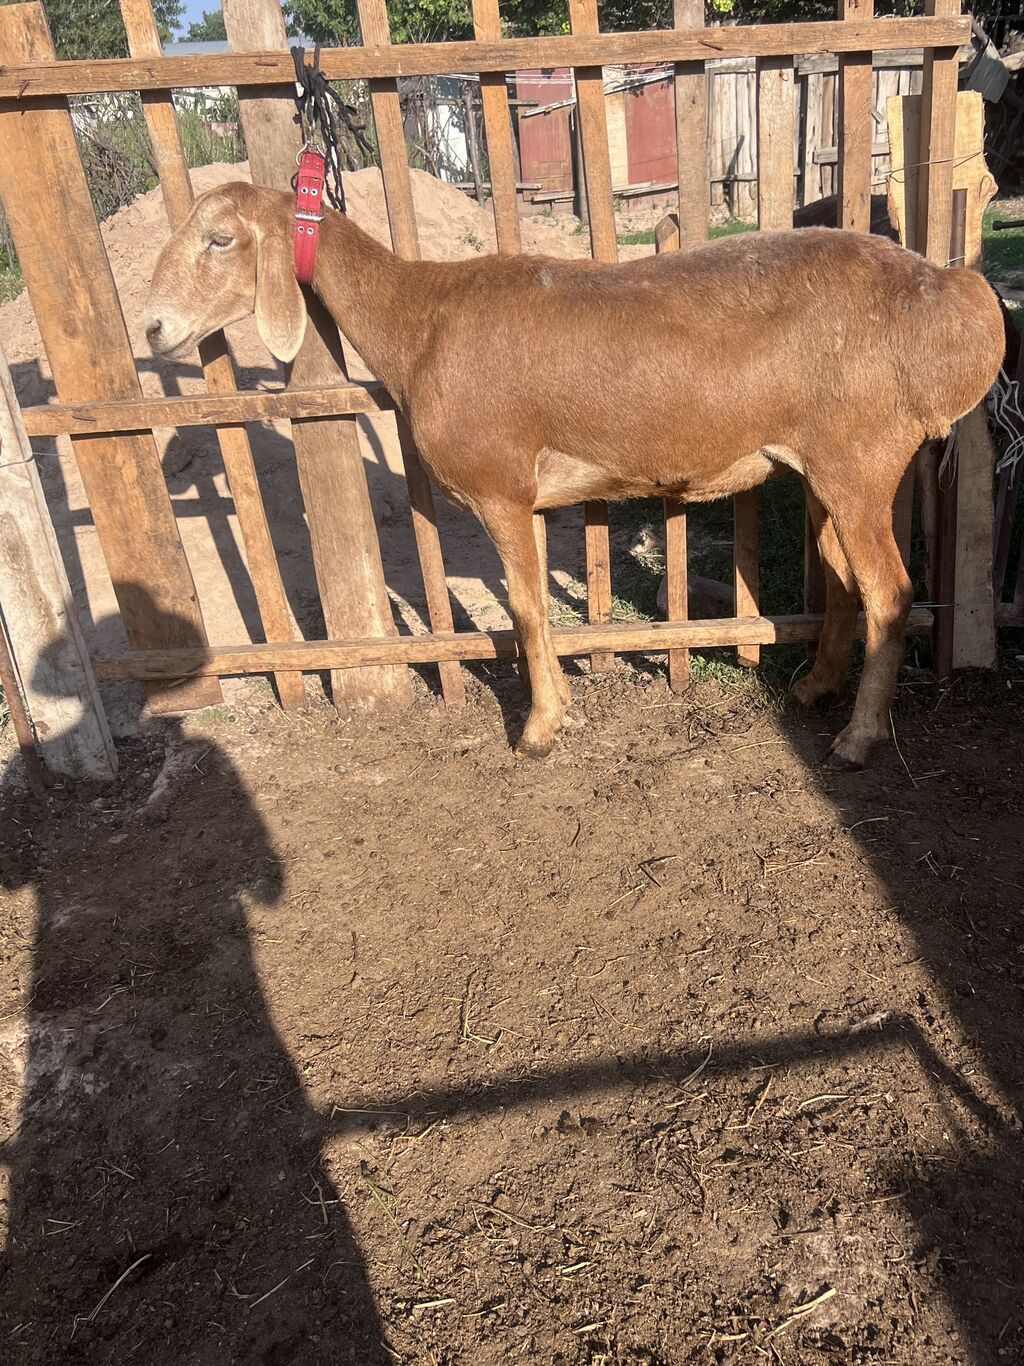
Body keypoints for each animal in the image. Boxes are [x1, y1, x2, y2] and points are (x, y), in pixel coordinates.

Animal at [144, 181, 1004, 768]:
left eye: (219, 238)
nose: (154, 326)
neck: (418, 321)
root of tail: (952, 302)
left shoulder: (499, 488)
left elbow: (527, 610)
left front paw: (538, 729)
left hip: (861, 458)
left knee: (890, 592)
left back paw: (859, 737)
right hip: (825, 465)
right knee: (840, 577)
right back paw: (816, 688)